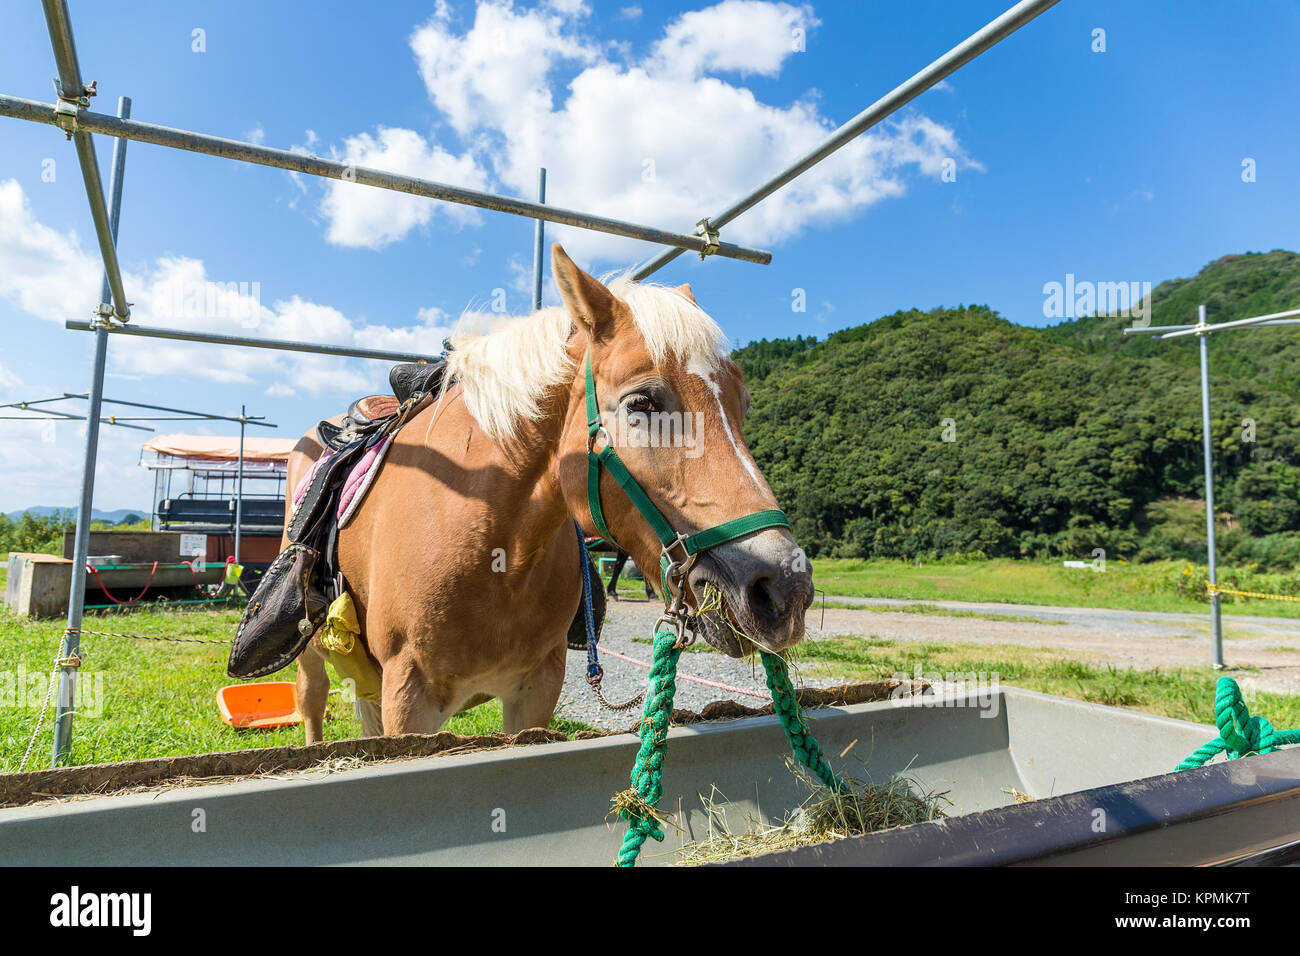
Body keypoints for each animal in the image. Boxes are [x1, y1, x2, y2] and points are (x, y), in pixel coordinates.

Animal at [286, 244, 814, 743]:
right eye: (642, 403)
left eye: (743, 404)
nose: (785, 589)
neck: (496, 553)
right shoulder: (408, 697)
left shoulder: (534, 692)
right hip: (314, 656)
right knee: (311, 701)